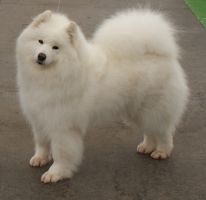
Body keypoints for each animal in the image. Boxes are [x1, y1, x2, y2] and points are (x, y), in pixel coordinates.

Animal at [16, 10, 189, 184]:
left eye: (55, 47)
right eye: (40, 41)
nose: (41, 56)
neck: (51, 75)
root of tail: (161, 54)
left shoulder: (62, 125)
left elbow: (61, 152)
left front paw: (56, 173)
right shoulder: (39, 118)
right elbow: (42, 143)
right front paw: (40, 158)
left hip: (154, 109)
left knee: (164, 132)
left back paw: (162, 151)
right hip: (138, 111)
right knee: (151, 130)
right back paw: (147, 147)